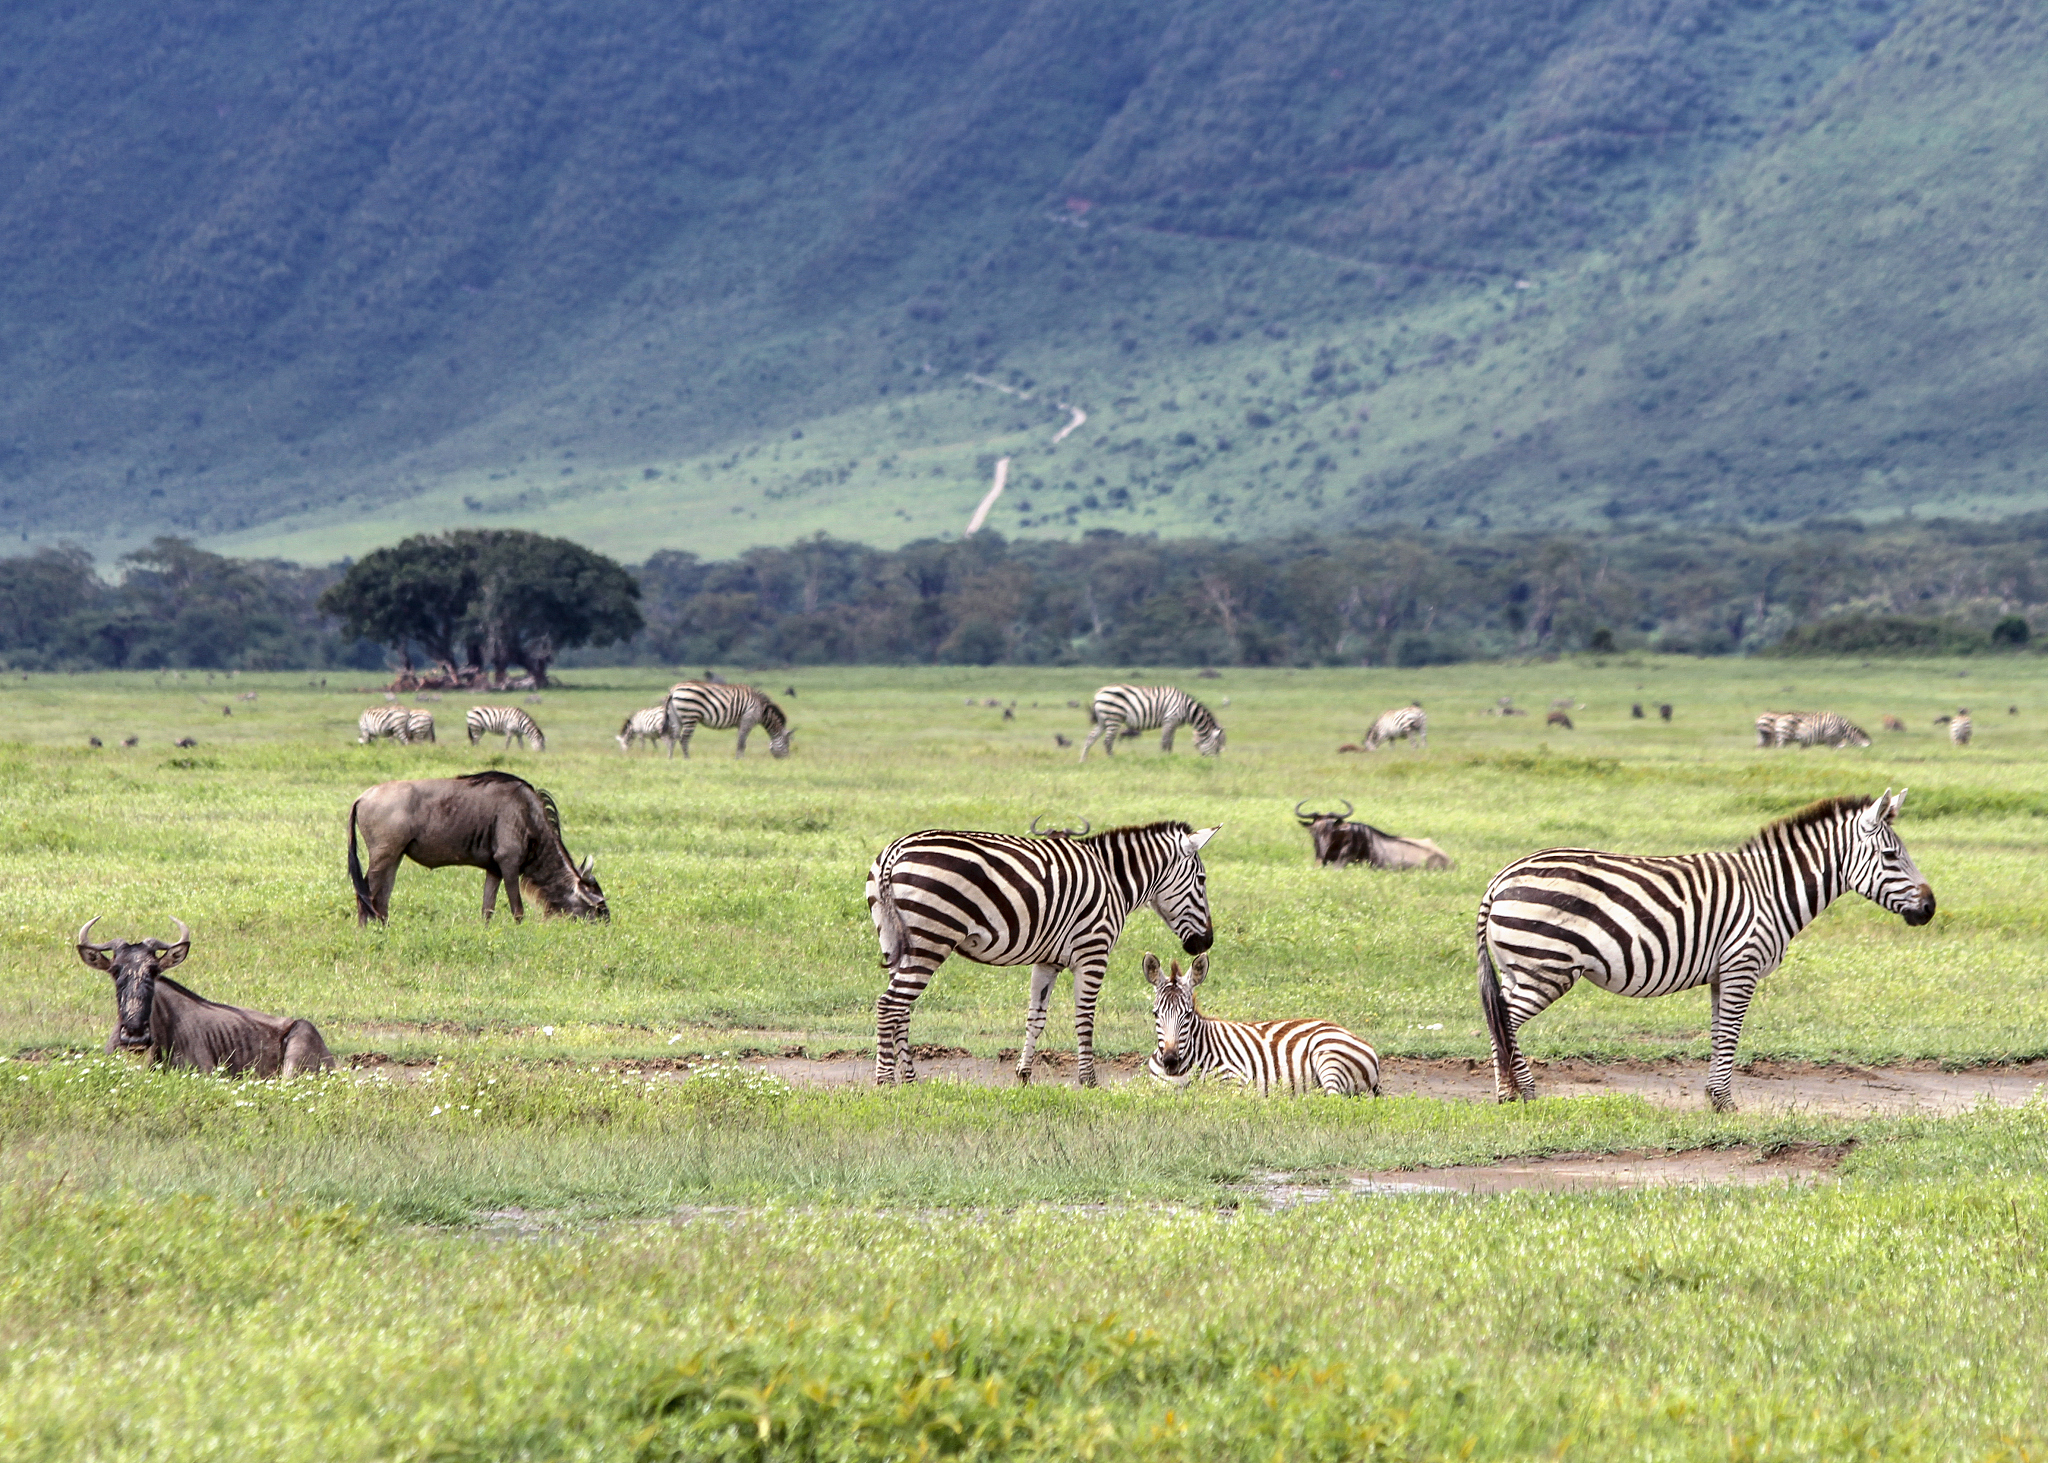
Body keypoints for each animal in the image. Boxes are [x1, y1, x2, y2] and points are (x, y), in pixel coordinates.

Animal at [866, 820, 1221, 1086]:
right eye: (1202, 880)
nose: (1206, 943)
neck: (1114, 882)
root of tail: (895, 851)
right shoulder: (1093, 953)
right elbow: (1084, 1018)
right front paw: (1088, 1080)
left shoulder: (1047, 961)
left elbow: (1036, 1018)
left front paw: (1023, 1074)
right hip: (931, 940)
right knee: (888, 1005)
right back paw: (885, 1081)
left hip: (896, 942)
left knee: (901, 1008)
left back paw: (910, 1079)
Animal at [1078, 685, 1225, 761]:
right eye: (1217, 748)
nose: (1215, 764)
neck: (1187, 709)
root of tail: (1098, 693)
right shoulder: (1169, 719)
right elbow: (1165, 741)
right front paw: (1163, 759)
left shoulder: (1174, 724)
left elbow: (1170, 742)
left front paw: (1170, 757)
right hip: (1114, 717)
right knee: (1107, 741)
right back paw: (1112, 760)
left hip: (1103, 720)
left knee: (1091, 738)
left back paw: (1083, 761)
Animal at [1478, 791, 1934, 1112]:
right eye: (1891, 856)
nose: (1929, 908)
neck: (1771, 891)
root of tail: (1501, 878)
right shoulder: (1742, 965)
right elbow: (1731, 1033)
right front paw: (1726, 1103)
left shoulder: (1721, 973)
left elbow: (1718, 1033)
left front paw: (1714, 1098)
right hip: (1547, 966)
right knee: (1506, 1019)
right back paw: (1524, 1094)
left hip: (1520, 967)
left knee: (1496, 1014)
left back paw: (1509, 1094)